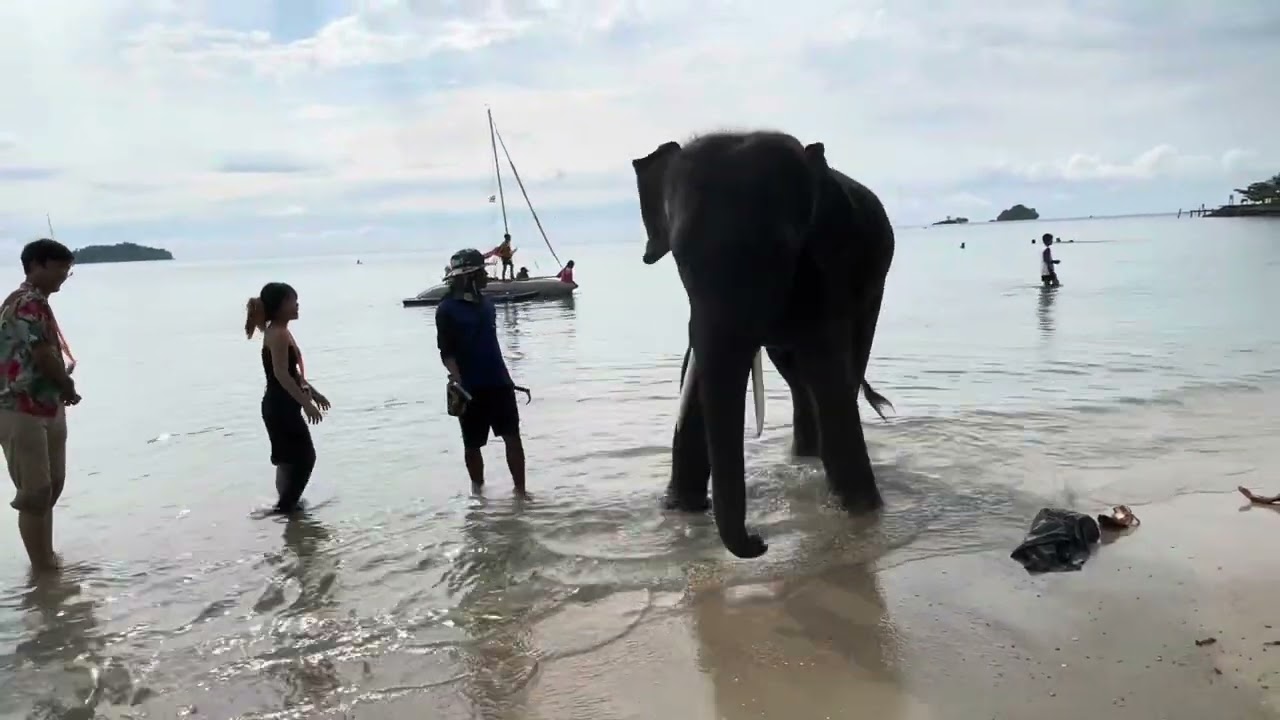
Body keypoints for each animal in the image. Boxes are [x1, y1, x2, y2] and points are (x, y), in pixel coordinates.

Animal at [631, 131, 896, 559]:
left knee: (842, 371)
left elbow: (827, 371)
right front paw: (680, 510)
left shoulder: (826, 268)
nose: (760, 541)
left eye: (781, 251)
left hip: (874, 288)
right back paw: (804, 457)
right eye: (681, 259)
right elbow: (697, 371)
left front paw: (859, 511)